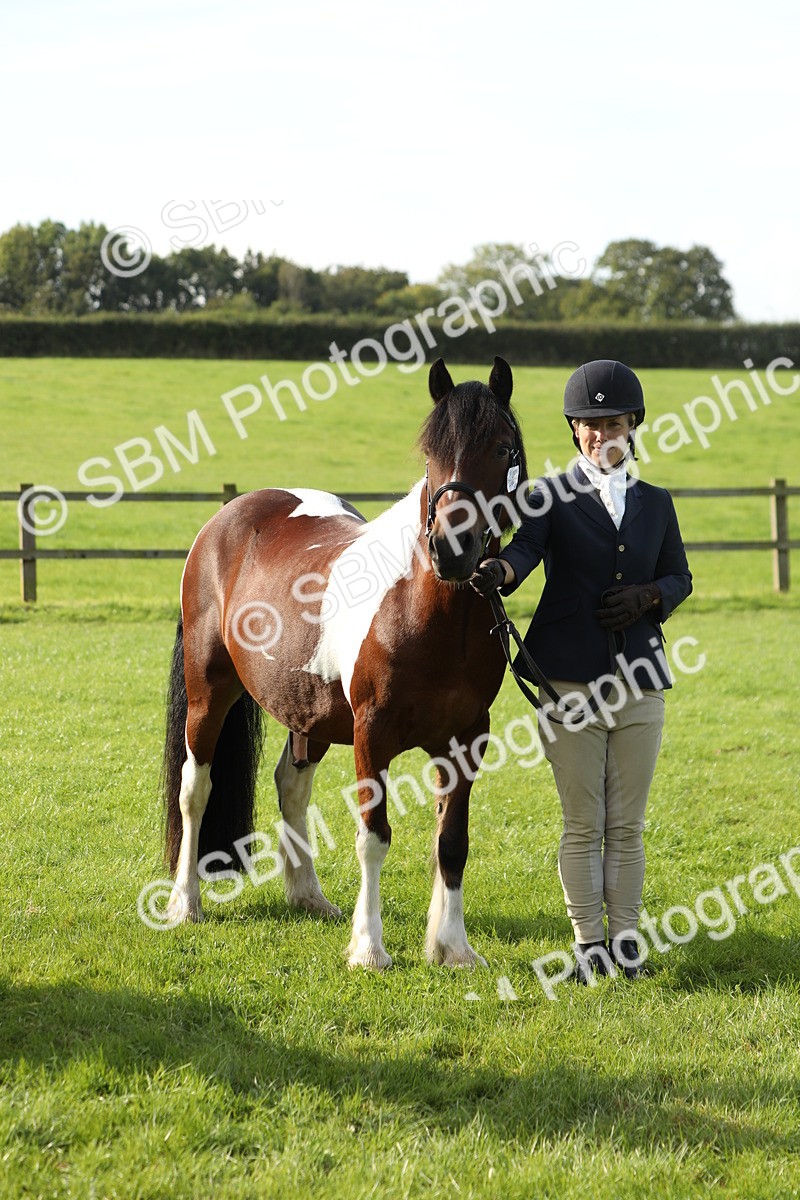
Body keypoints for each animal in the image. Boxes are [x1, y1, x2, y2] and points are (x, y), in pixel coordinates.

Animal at [161, 355, 528, 968]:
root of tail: (227, 517)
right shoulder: (370, 735)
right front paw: (369, 948)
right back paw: (185, 903)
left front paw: (452, 947)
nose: (452, 548)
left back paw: (309, 896)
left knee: (291, 785)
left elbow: (451, 841)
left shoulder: (466, 739)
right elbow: (373, 837)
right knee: (196, 789)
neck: (426, 611)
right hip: (208, 693)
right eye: (430, 453)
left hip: (305, 710)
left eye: (503, 449)